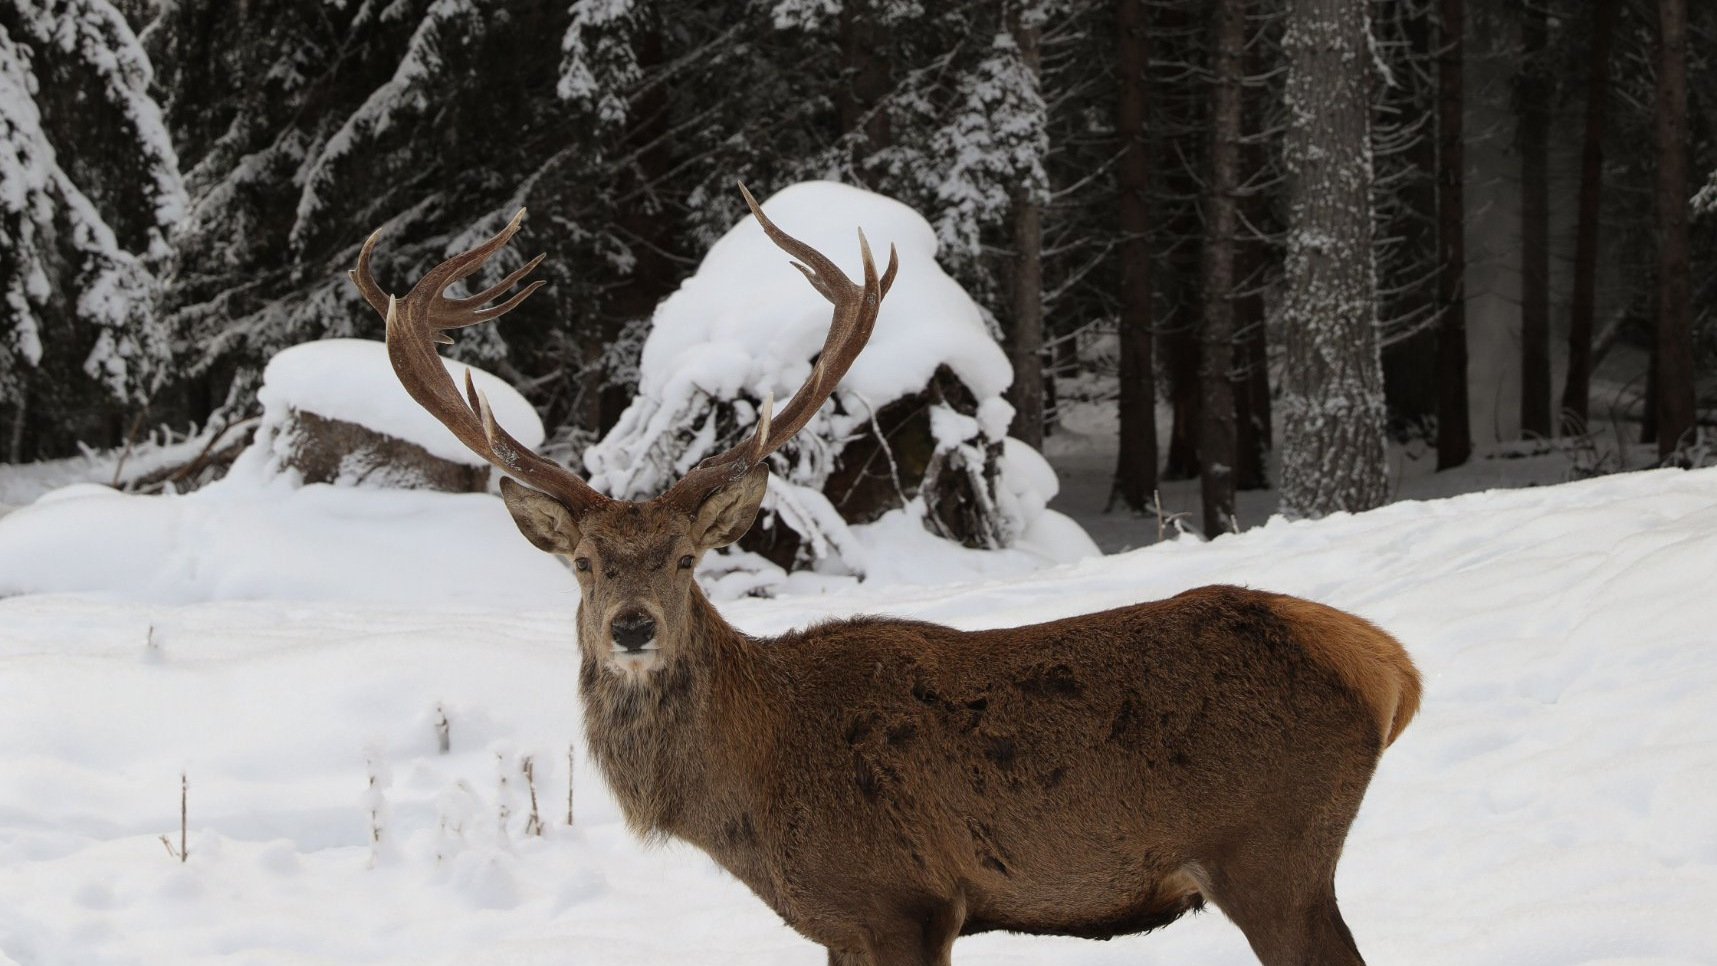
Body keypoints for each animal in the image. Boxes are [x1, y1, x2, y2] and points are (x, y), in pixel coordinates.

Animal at [349, 187, 1421, 966]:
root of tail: (1387, 668)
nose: (633, 626)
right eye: (581, 564)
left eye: (688, 559)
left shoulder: (903, 898)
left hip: (1274, 849)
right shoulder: (839, 925)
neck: (752, 789)